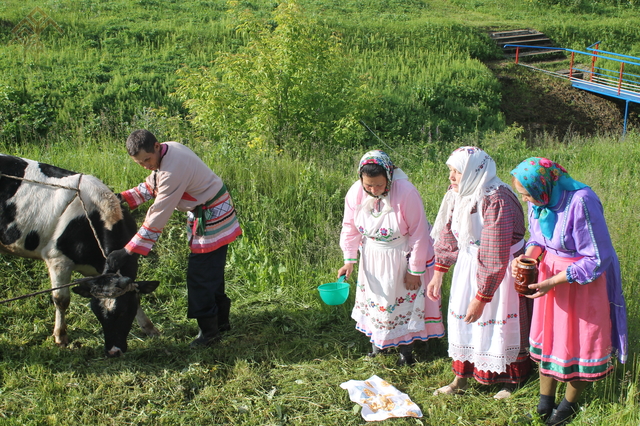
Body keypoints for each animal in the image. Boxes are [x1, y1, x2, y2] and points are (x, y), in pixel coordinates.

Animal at [0, 153, 159, 356]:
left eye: (123, 311)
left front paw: (149, 327)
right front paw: (60, 336)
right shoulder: (57, 261)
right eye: (97, 313)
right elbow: (61, 299)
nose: (113, 351)